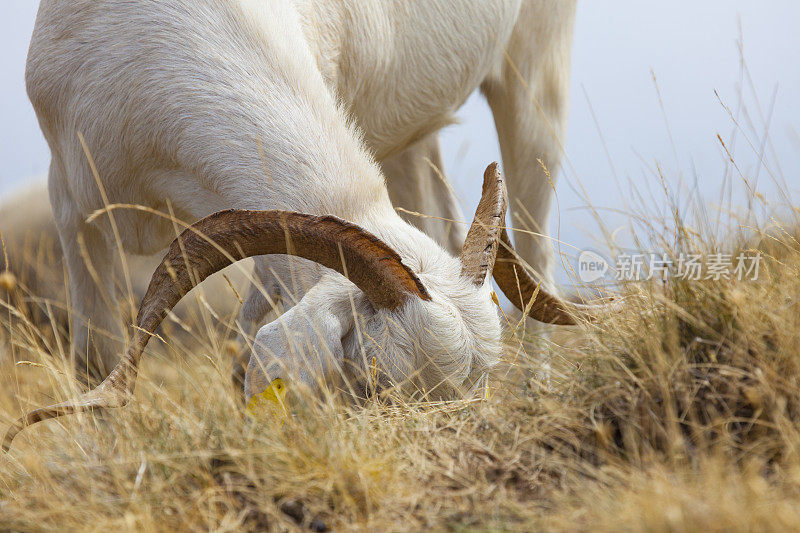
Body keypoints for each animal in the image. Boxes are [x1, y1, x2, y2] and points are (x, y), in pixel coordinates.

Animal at [4, 1, 592, 448]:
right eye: (374, 383)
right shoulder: (72, 205)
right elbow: (94, 358)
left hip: (537, 68)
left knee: (536, 248)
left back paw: (540, 392)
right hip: (413, 136)